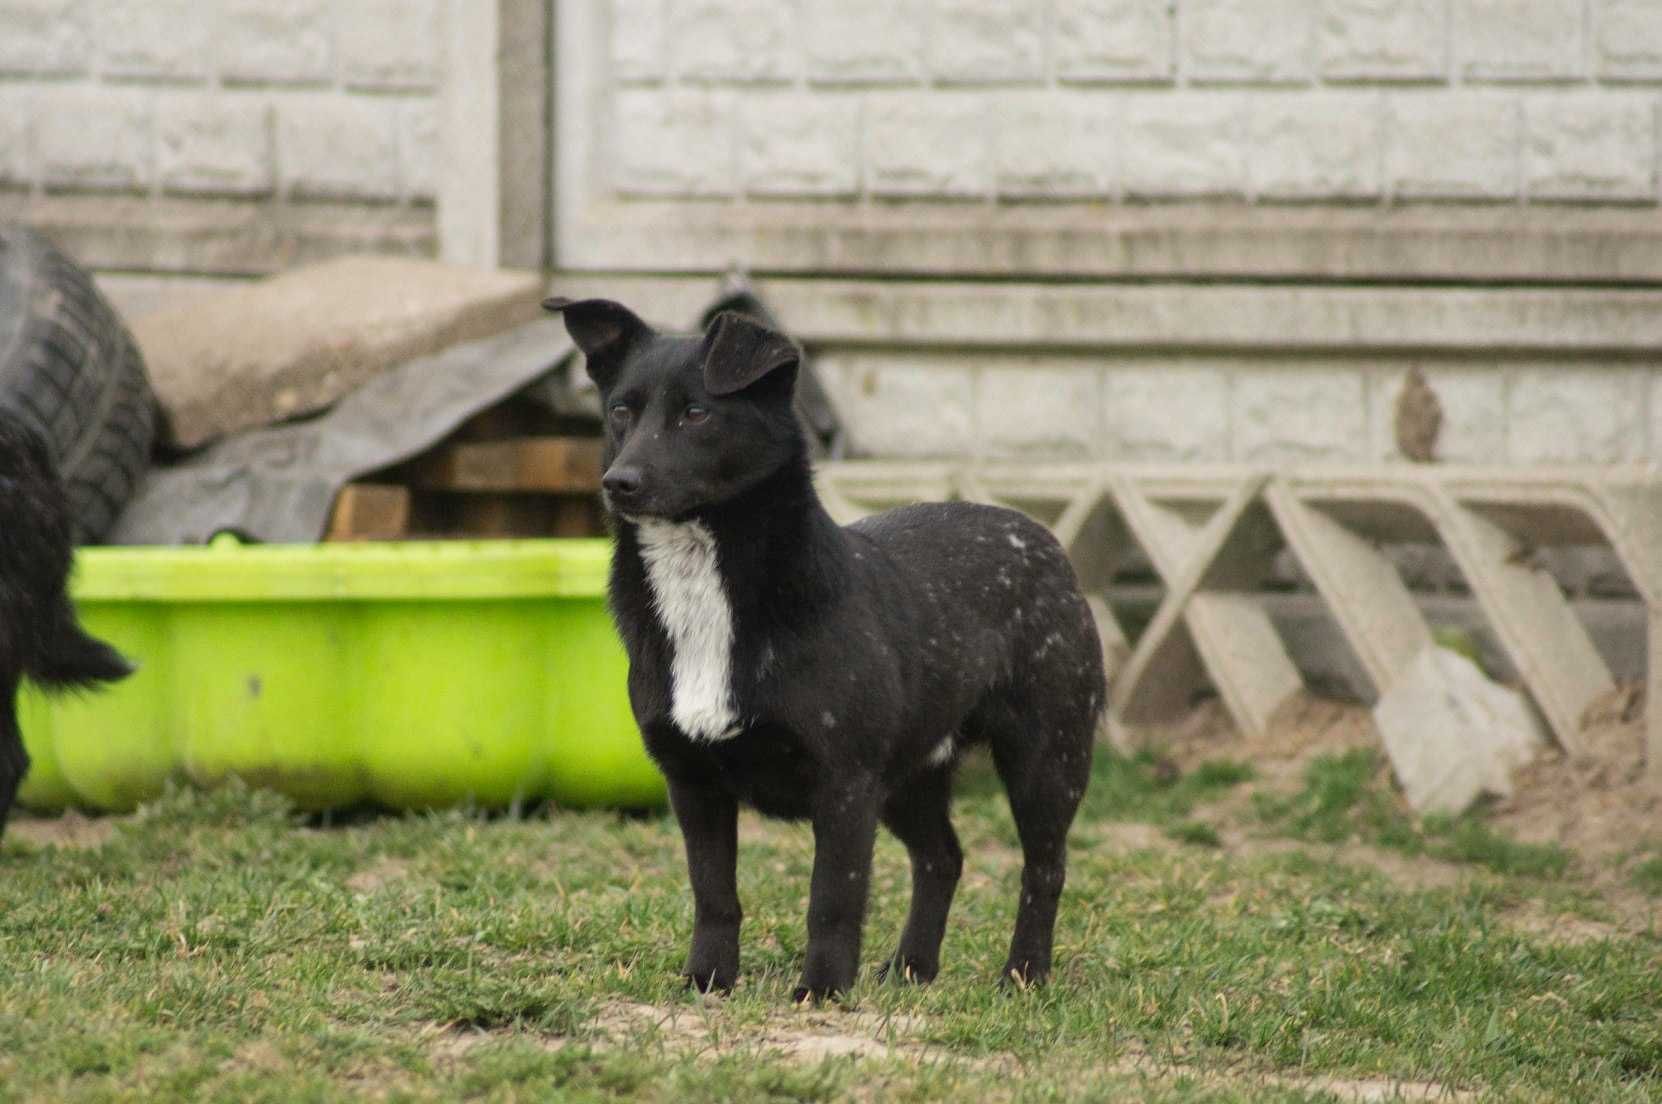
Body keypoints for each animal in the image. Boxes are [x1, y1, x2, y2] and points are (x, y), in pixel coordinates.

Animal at [551, 297, 1110, 1004]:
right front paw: (709, 979)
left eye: (697, 413)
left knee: (1045, 867)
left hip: (1046, 757)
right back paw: (912, 968)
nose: (618, 482)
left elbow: (832, 899)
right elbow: (714, 895)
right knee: (942, 857)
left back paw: (1024, 973)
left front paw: (822, 988)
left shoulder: (844, 784)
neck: (707, 587)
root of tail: (1042, 539)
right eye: (621, 410)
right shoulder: (694, 784)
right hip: (909, 777)